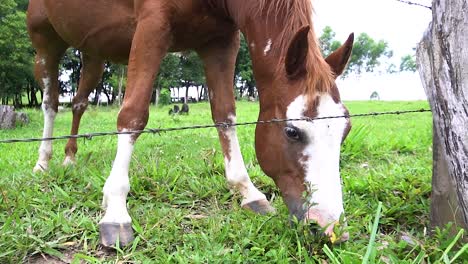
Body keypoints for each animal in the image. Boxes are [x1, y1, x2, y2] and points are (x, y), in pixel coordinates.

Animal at [27, 0, 352, 248]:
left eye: (345, 131)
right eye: (292, 132)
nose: (329, 227)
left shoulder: (220, 41)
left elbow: (225, 115)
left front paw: (247, 191)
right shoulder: (152, 25)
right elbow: (133, 115)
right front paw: (116, 209)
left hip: (93, 50)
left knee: (79, 103)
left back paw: (70, 158)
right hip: (46, 41)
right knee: (50, 103)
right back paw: (43, 163)